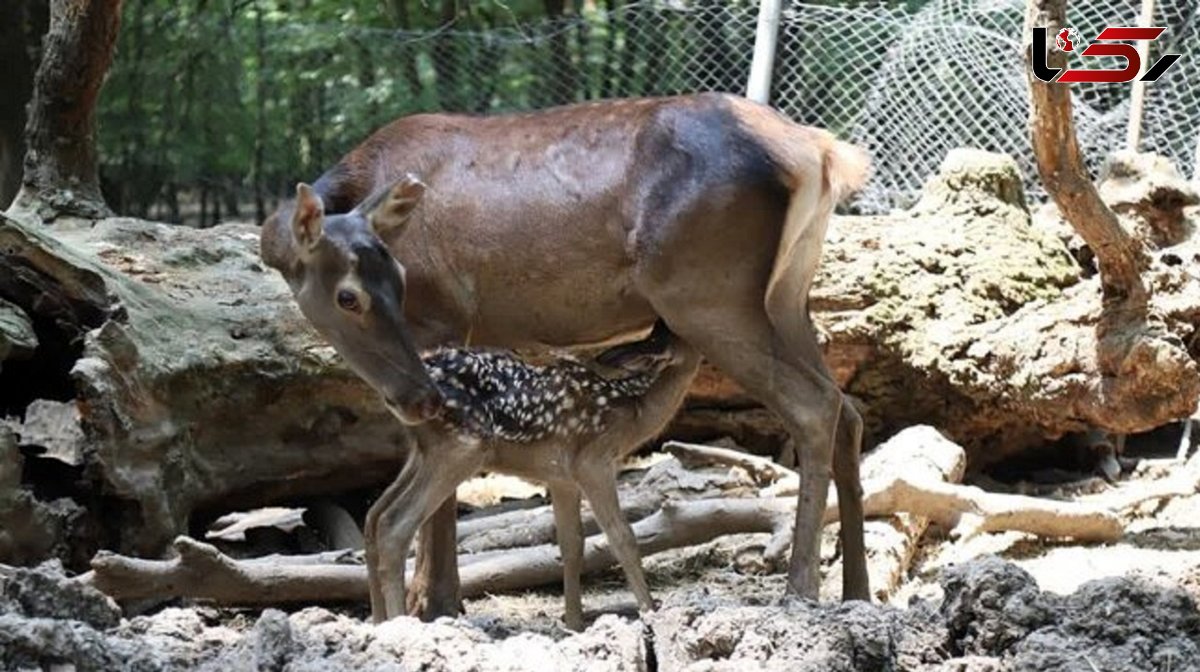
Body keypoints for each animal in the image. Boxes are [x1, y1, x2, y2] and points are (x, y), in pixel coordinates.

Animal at [364, 324, 700, 628]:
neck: (634, 413)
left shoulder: (561, 477)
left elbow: (572, 545)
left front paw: (574, 624)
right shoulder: (593, 462)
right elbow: (622, 536)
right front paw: (649, 609)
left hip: (422, 452)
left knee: (373, 516)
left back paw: (378, 620)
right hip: (462, 447)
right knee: (394, 523)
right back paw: (397, 622)